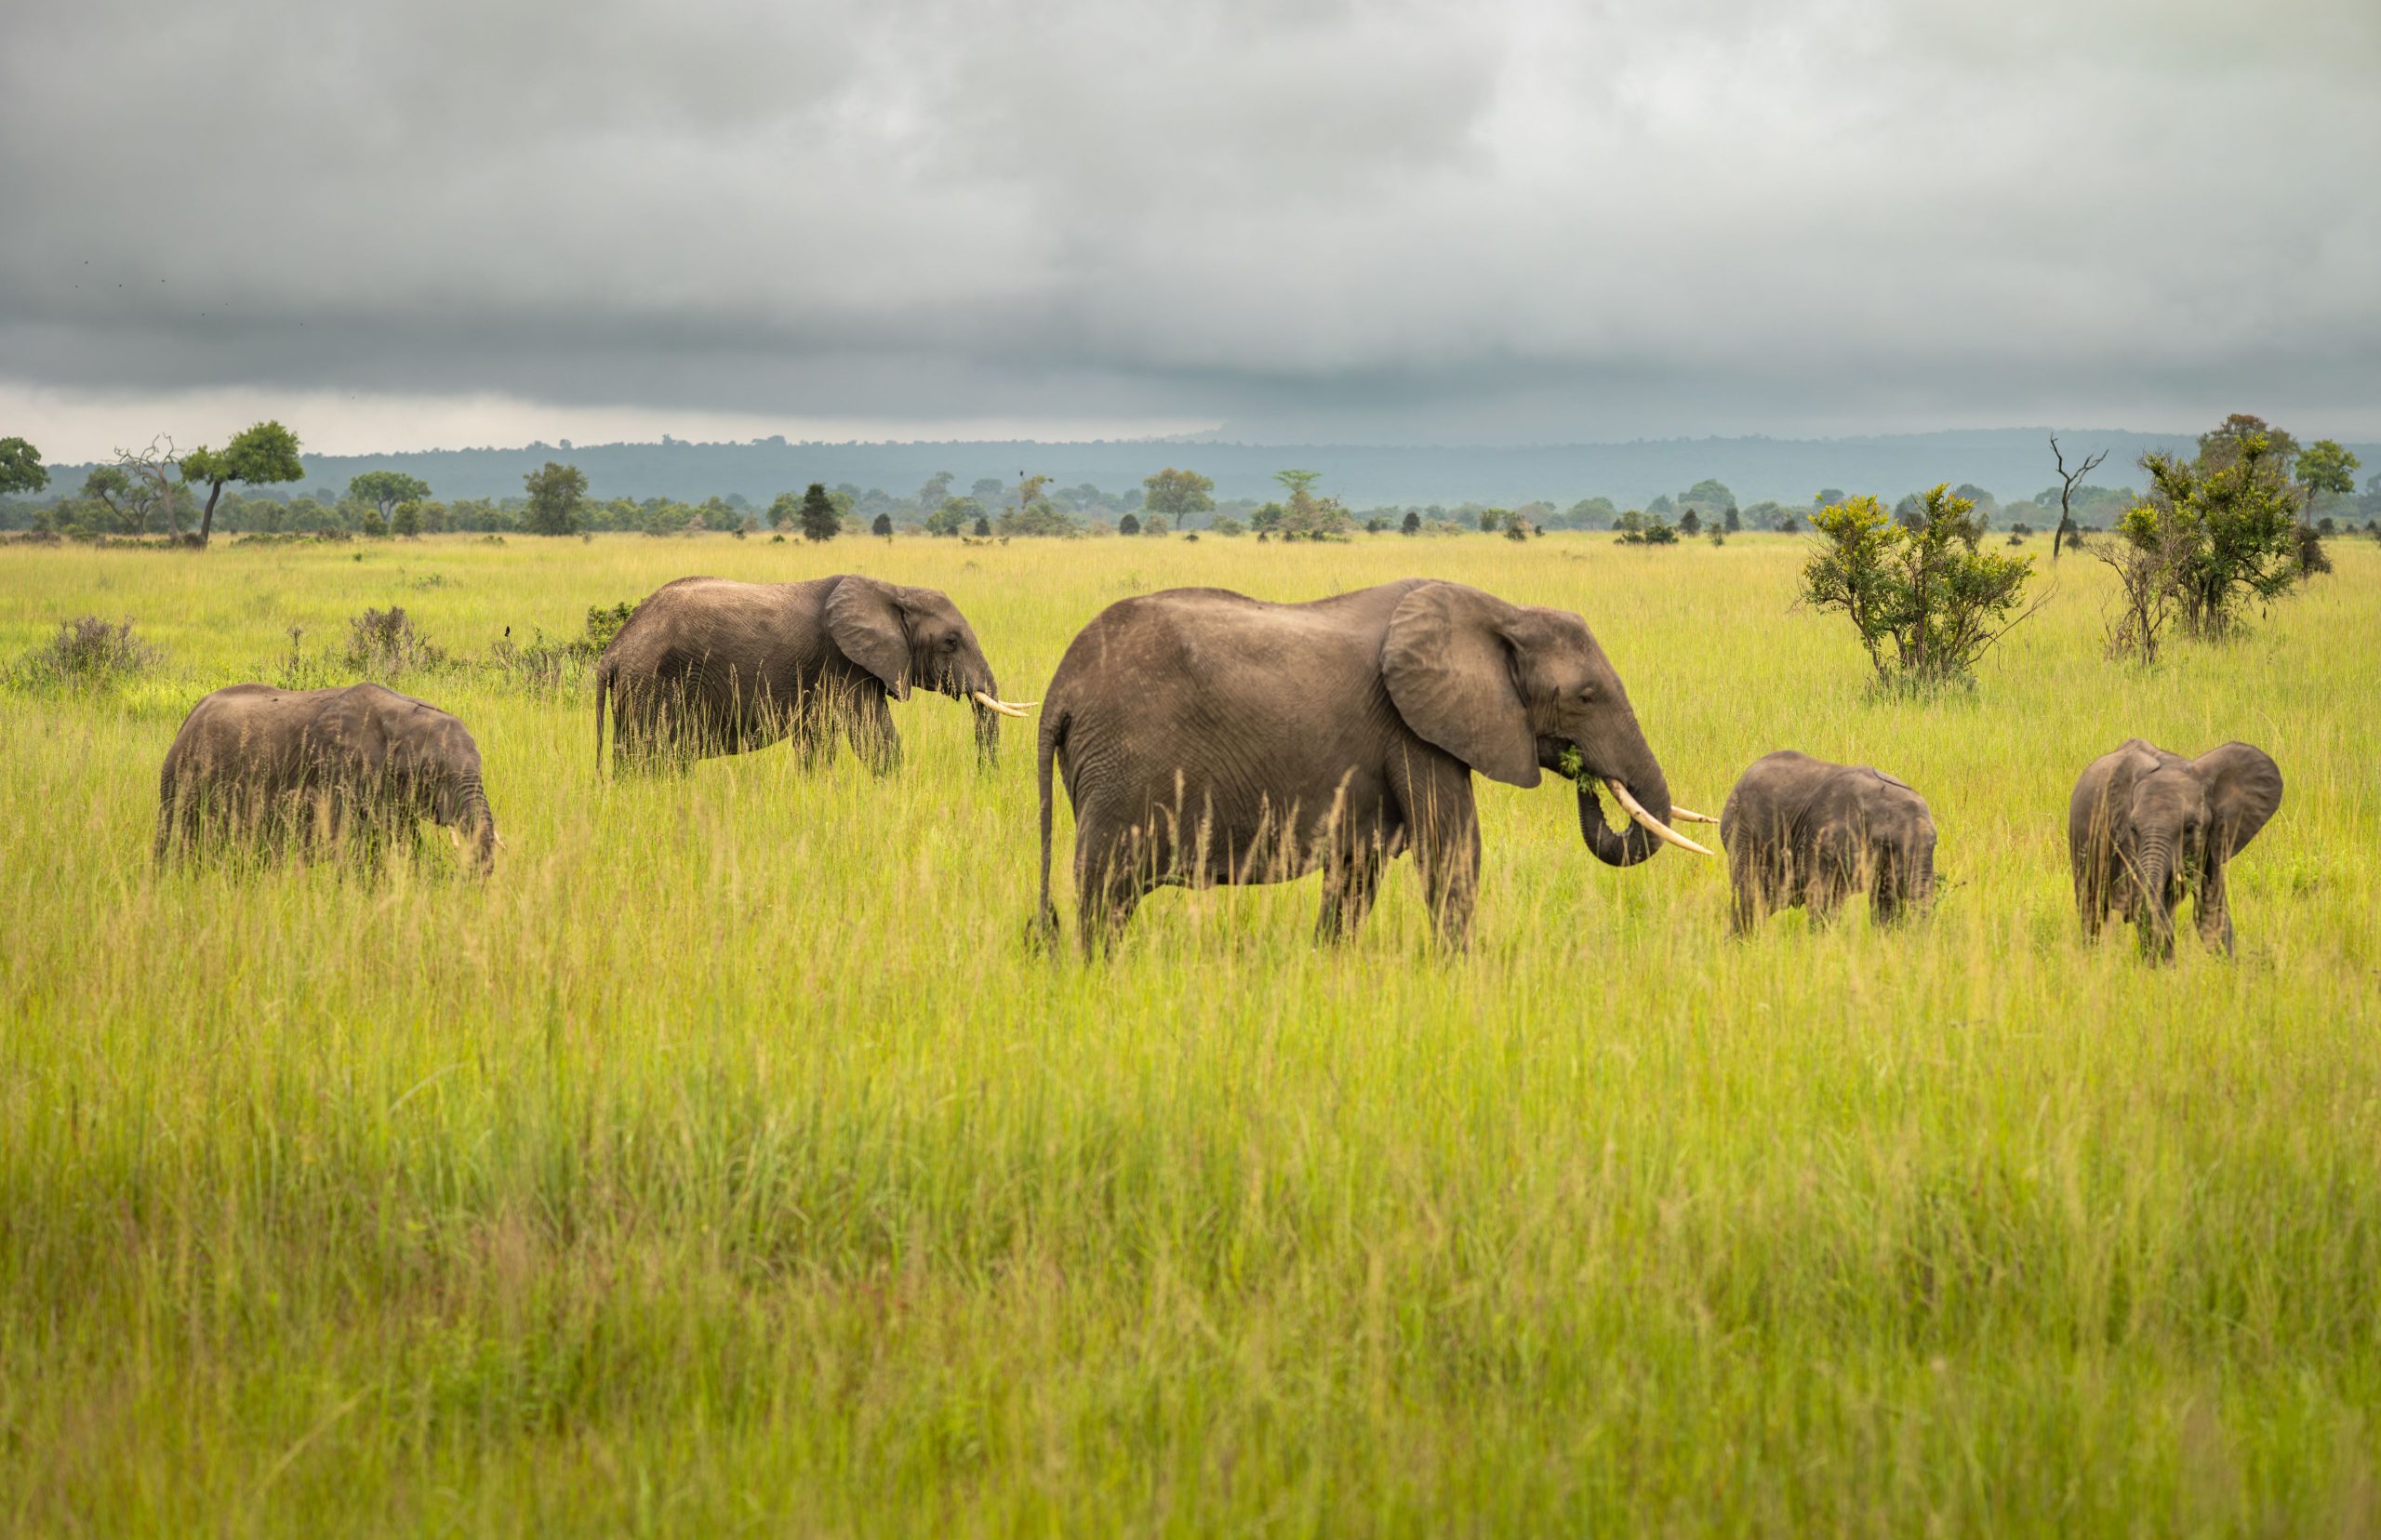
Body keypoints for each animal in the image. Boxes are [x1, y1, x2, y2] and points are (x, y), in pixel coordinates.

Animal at [593, 575, 1030, 774]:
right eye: (951, 642)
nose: (985, 777)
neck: (893, 589)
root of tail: (612, 651)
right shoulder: (846, 664)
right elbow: (877, 740)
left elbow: (816, 744)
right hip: (653, 684)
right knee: (656, 756)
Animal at [1032, 579, 1714, 953]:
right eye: (1586, 697)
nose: (1587, 773)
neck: (1505, 612)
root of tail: (1060, 690)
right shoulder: (1413, 728)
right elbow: (1452, 850)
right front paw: (1458, 974)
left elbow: (1356, 871)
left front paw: (1327, 966)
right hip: (1122, 767)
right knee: (1104, 891)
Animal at [1718, 750, 1936, 933]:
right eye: (1888, 845)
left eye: (1934, 845)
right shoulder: (1822, 841)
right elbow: (1823, 901)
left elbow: (1885, 904)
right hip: (1741, 835)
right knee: (1752, 897)